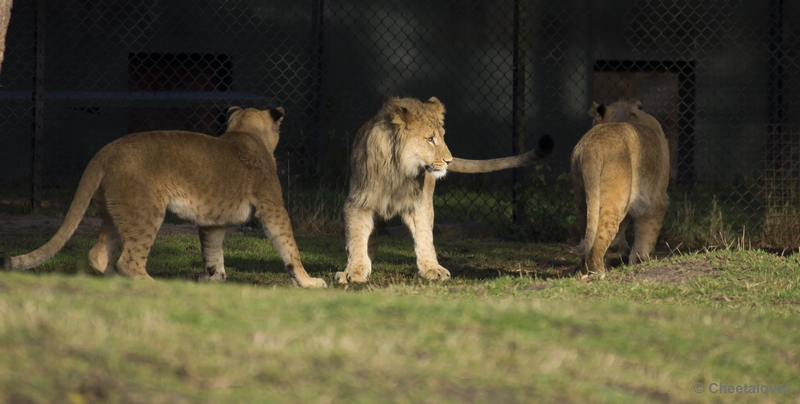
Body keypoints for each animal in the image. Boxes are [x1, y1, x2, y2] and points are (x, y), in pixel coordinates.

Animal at [2, 105, 328, 286]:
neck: (246, 134)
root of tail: (107, 150)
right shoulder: (271, 207)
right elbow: (288, 246)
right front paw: (308, 281)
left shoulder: (212, 220)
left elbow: (212, 249)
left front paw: (212, 278)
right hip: (145, 212)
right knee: (128, 261)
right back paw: (152, 285)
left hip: (115, 213)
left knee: (98, 256)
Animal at [334, 96, 552, 284]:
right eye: (430, 139)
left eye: (442, 137)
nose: (449, 160)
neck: (398, 170)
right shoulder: (358, 201)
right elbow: (356, 238)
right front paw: (354, 270)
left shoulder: (420, 204)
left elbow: (424, 237)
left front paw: (431, 268)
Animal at [572, 99, 672, 280]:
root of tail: (592, 148)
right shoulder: (656, 201)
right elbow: (647, 234)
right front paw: (640, 262)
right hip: (615, 200)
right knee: (599, 236)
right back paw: (599, 273)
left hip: (583, 198)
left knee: (588, 232)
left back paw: (586, 270)